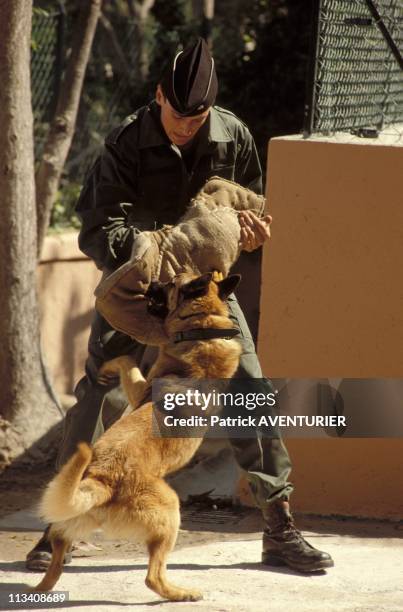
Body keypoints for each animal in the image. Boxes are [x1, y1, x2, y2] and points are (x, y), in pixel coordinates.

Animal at [33, 272, 241, 604]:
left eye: (170, 283)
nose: (153, 282)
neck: (202, 326)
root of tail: (101, 477)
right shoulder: (140, 385)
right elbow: (126, 359)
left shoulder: (139, 386)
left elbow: (125, 359)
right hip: (167, 512)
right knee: (151, 576)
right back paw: (182, 593)